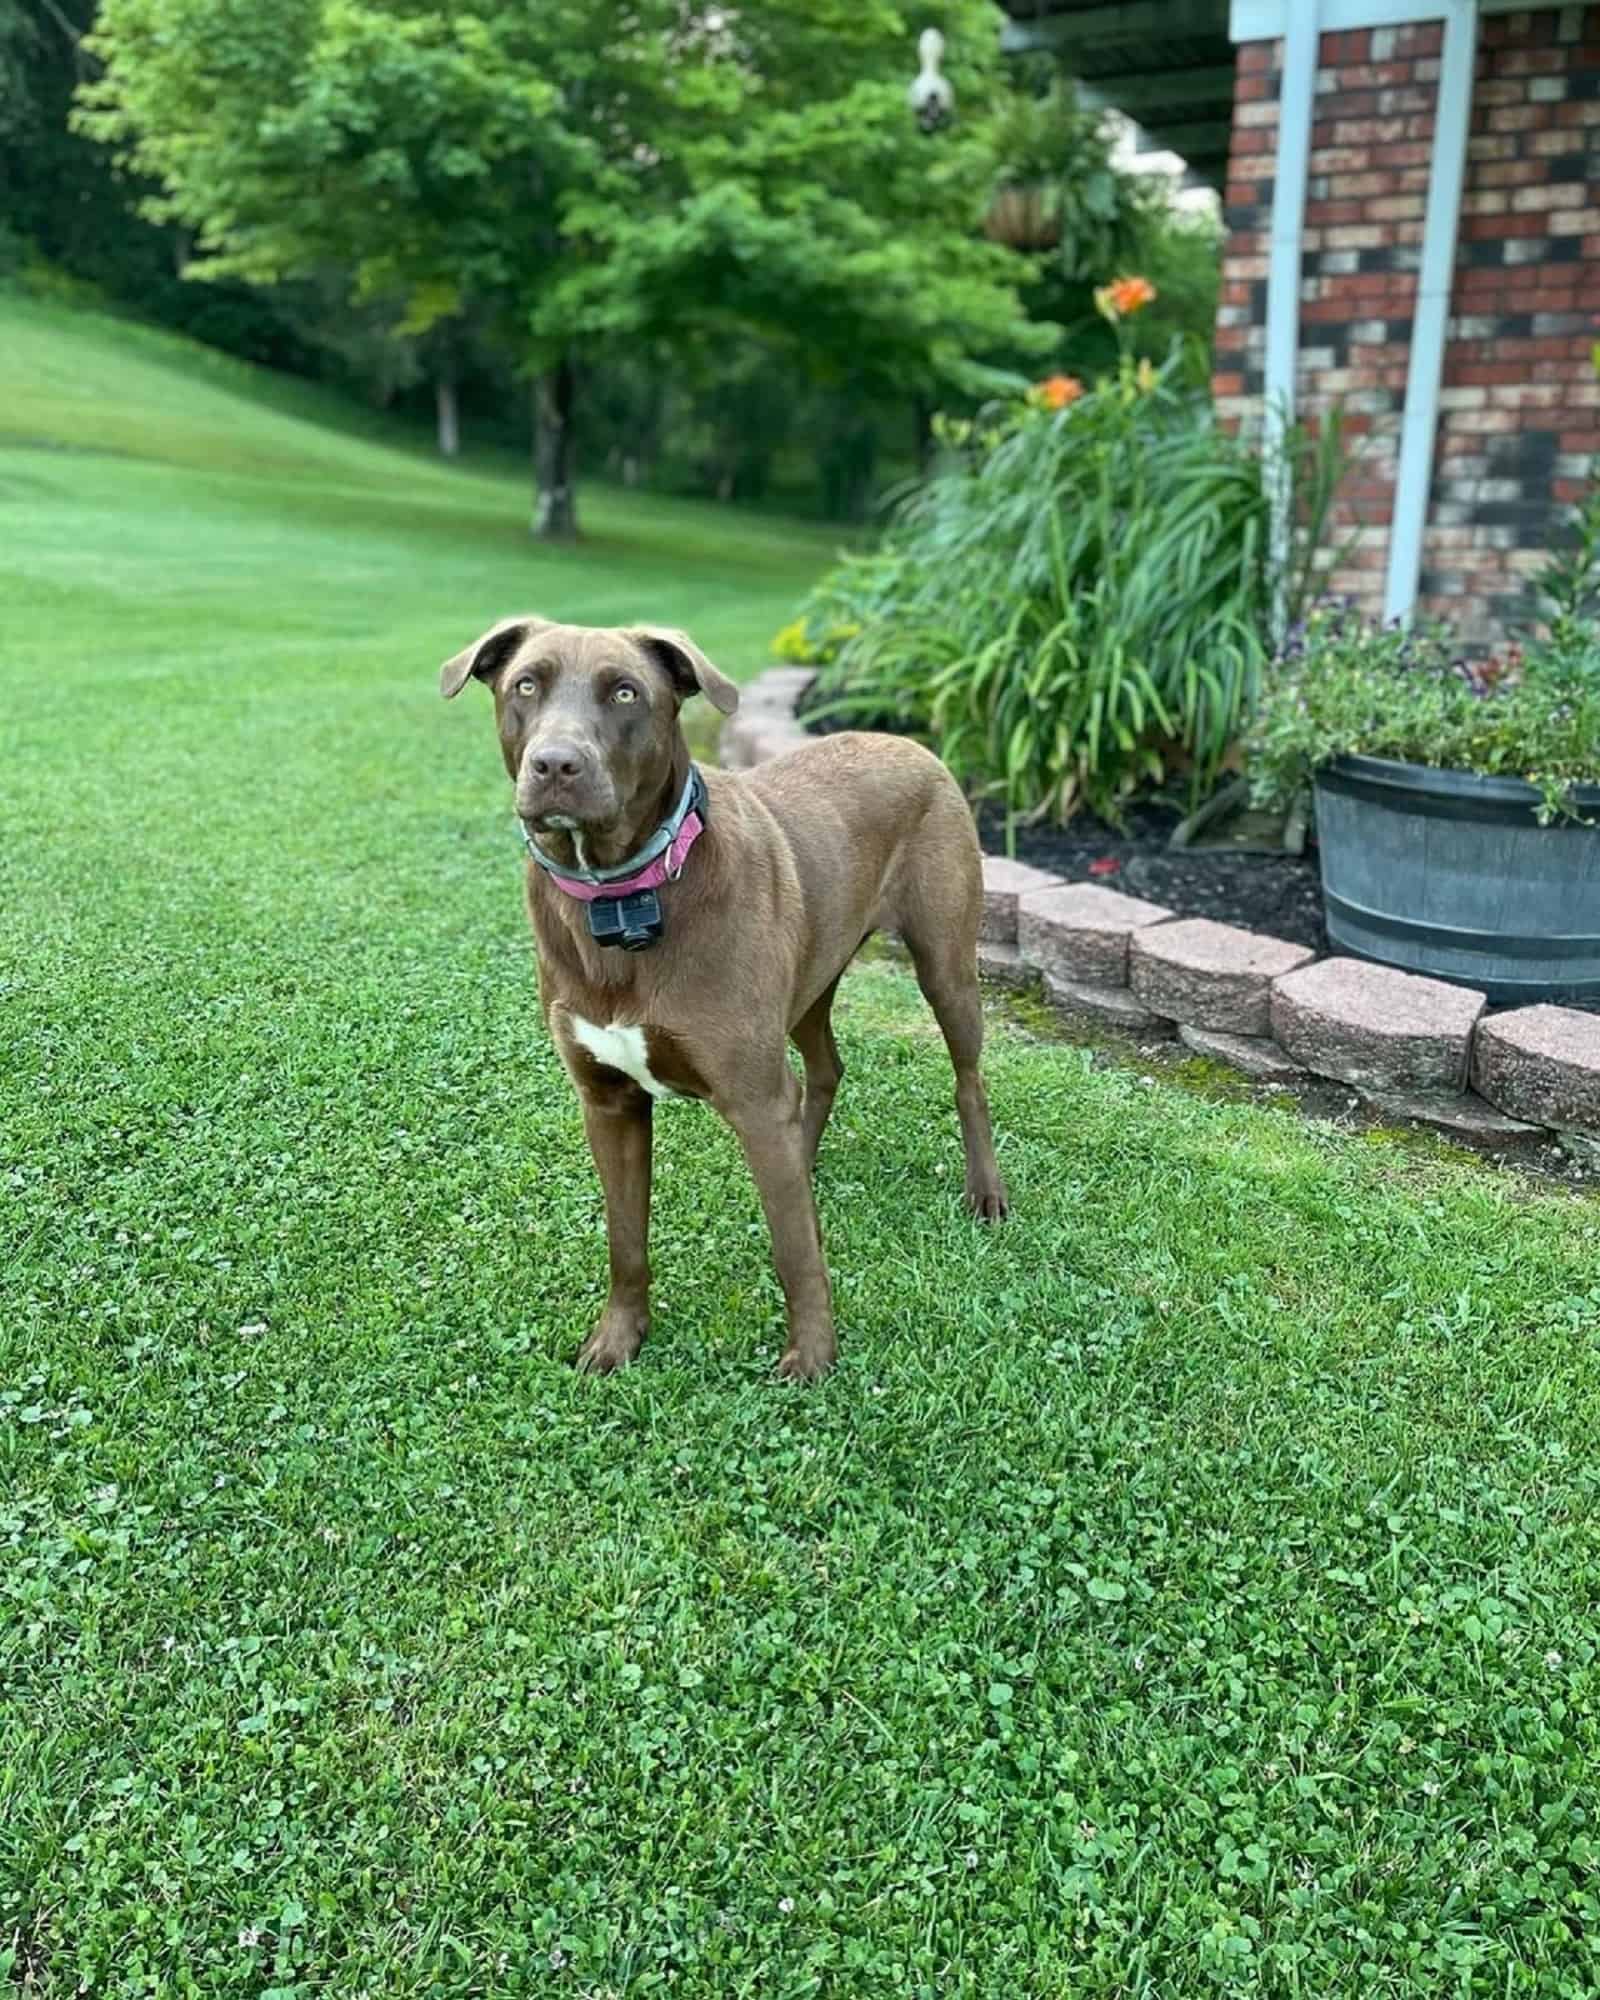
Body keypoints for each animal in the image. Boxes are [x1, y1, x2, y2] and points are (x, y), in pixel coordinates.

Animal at [444, 616, 1008, 1384]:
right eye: (526, 684)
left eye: (626, 692)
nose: (556, 765)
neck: (625, 899)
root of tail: (910, 742)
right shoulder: (609, 1101)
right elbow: (625, 1240)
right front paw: (619, 1339)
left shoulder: (753, 1095)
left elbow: (795, 1251)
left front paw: (813, 1356)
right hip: (810, 979)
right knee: (824, 1070)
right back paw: (806, 1156)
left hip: (944, 962)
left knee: (967, 1078)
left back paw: (985, 1192)